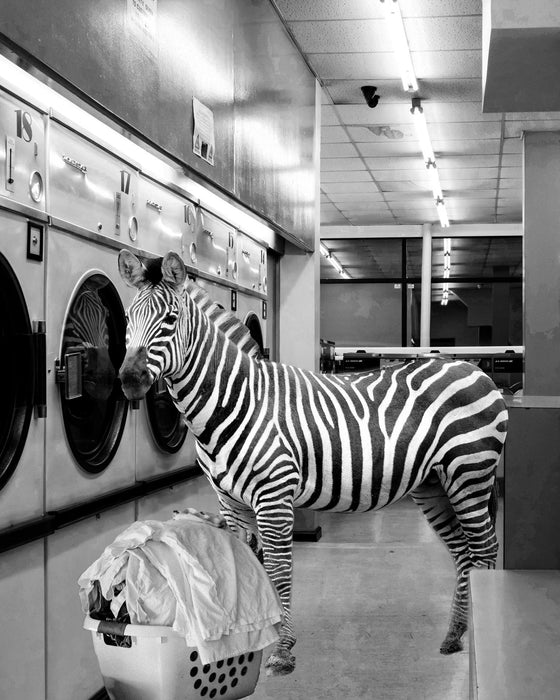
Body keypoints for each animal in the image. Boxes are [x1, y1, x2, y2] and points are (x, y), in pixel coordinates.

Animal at [118, 249, 508, 677]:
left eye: (170, 320)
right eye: (127, 319)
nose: (129, 380)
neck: (235, 400)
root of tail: (471, 367)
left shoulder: (274, 497)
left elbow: (279, 571)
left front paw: (282, 649)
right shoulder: (229, 502)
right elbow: (241, 569)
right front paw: (241, 649)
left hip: (469, 471)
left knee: (485, 549)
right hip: (433, 484)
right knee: (463, 552)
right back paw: (454, 634)